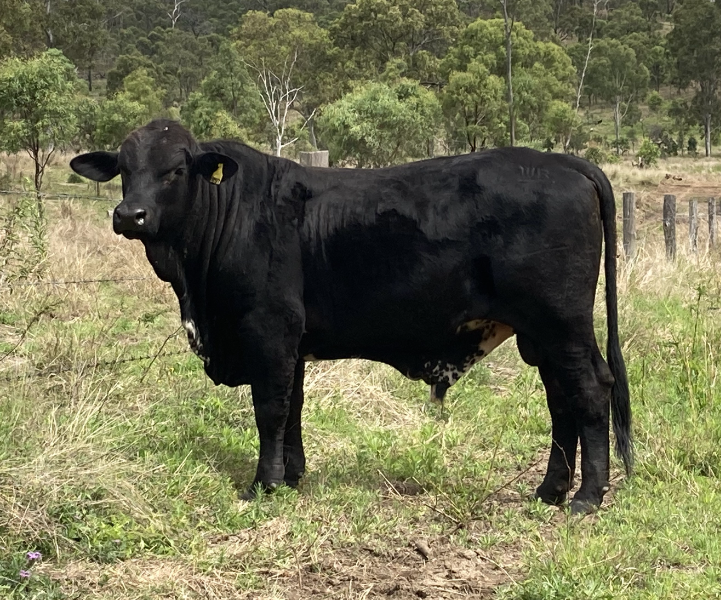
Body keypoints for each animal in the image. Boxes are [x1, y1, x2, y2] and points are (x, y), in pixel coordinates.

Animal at [70, 119, 632, 514]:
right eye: (124, 169)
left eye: (176, 170)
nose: (130, 215)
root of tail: (563, 163)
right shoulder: (291, 345)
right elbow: (293, 408)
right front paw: (293, 475)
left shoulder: (268, 331)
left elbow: (269, 409)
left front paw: (264, 484)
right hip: (539, 335)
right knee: (561, 401)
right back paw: (550, 490)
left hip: (561, 324)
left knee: (588, 391)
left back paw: (587, 496)